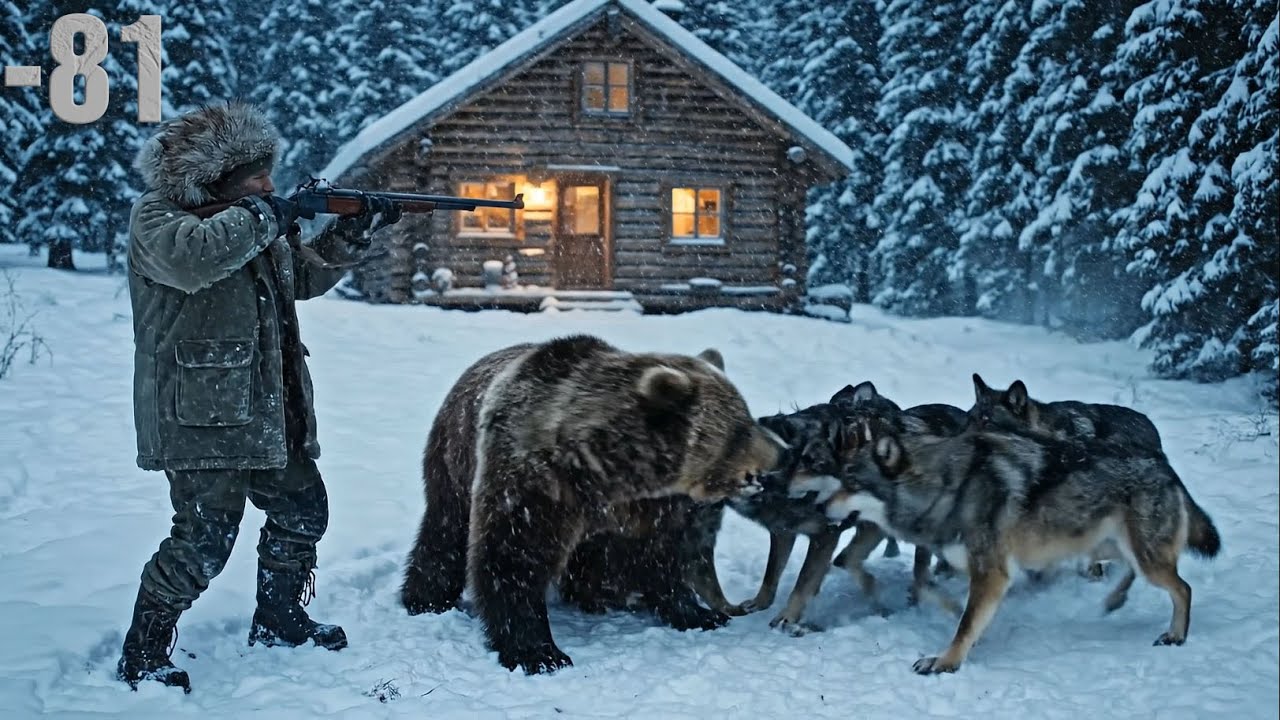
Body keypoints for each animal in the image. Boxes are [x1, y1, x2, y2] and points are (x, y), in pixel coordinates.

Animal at [399, 334, 783, 674]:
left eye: (746, 416)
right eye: (739, 429)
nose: (779, 457)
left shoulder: (651, 505)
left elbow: (663, 556)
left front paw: (699, 613)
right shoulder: (534, 483)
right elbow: (513, 556)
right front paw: (538, 653)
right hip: (454, 458)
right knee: (444, 530)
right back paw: (425, 598)